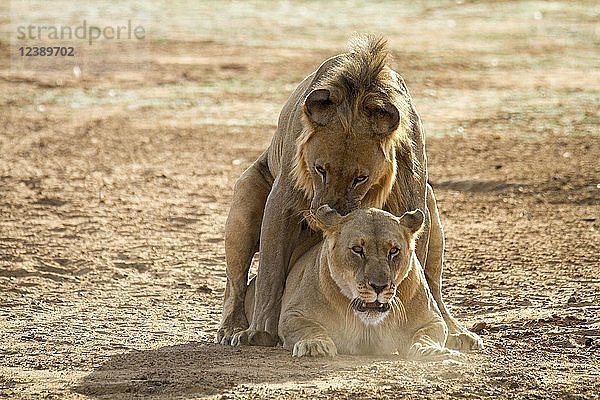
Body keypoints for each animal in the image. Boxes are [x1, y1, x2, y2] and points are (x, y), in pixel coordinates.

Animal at [244, 206, 464, 360]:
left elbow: (427, 335)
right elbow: (307, 327)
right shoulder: (292, 314)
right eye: (358, 249)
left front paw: (431, 350)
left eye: (394, 251)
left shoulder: (431, 319)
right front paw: (314, 345)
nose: (379, 287)